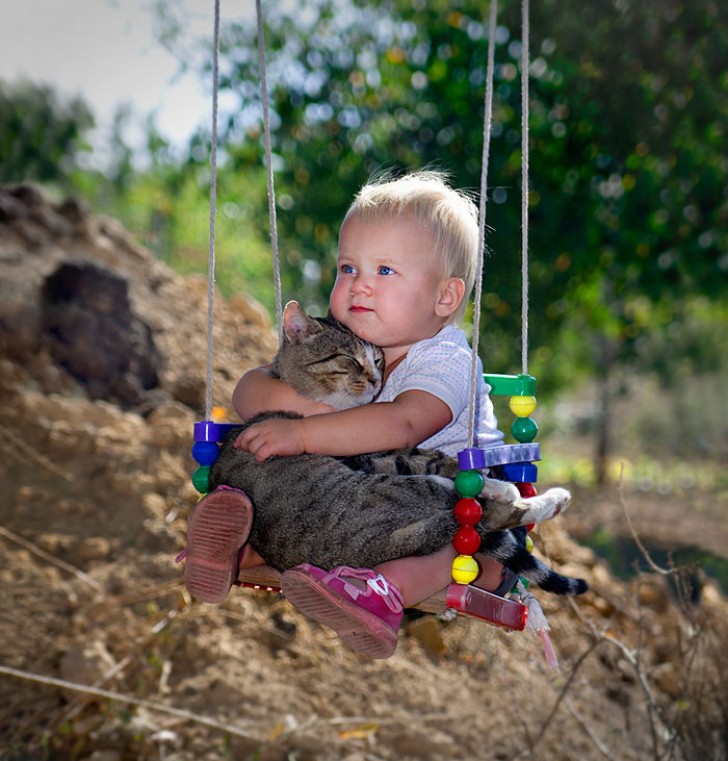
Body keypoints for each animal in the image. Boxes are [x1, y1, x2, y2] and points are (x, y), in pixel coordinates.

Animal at [209, 300, 584, 596]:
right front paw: (496, 484)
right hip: (397, 491)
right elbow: (433, 460)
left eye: (378, 359)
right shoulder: (373, 455)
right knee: (484, 511)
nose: (376, 379)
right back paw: (535, 496)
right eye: (348, 358)